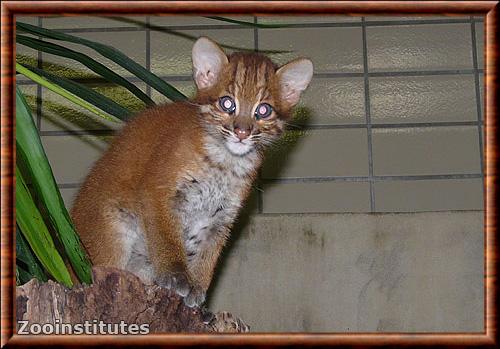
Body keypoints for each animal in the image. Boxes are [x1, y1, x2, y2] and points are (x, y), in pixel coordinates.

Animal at [71, 36, 312, 306]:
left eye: (263, 110)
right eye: (227, 103)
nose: (241, 132)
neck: (225, 163)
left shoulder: (221, 217)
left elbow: (208, 257)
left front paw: (197, 288)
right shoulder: (158, 192)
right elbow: (167, 238)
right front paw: (176, 276)